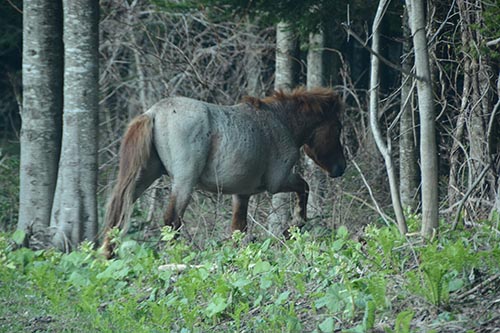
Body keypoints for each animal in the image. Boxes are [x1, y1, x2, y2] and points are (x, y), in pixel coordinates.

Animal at [101, 86, 344, 256]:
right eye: (337, 127)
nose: (341, 168)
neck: (281, 121)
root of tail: (153, 112)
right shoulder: (279, 181)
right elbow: (304, 188)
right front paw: (293, 227)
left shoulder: (242, 194)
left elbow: (238, 229)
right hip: (183, 183)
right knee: (172, 220)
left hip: (143, 178)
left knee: (118, 212)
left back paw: (109, 256)